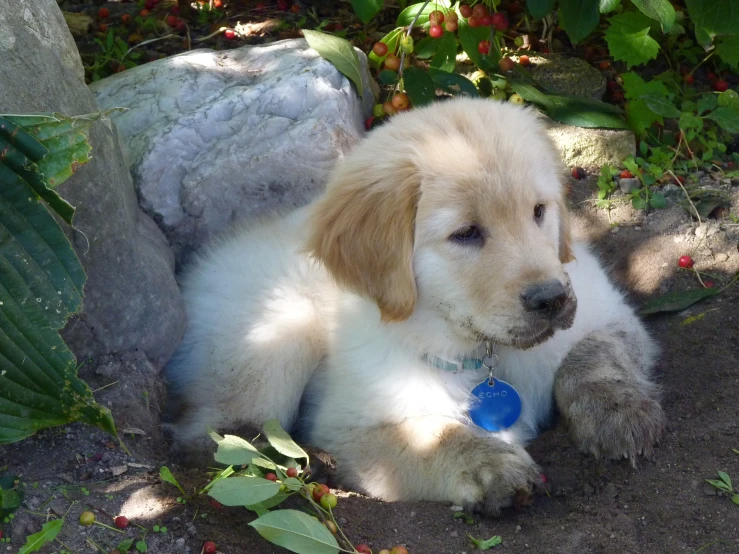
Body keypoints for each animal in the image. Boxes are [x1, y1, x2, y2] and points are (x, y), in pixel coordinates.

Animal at [165, 96, 668, 512]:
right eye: (466, 234)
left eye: (539, 211)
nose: (552, 299)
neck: (484, 350)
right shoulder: (351, 425)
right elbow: (435, 436)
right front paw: (491, 467)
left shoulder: (610, 312)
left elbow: (591, 358)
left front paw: (616, 411)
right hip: (279, 331)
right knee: (213, 430)